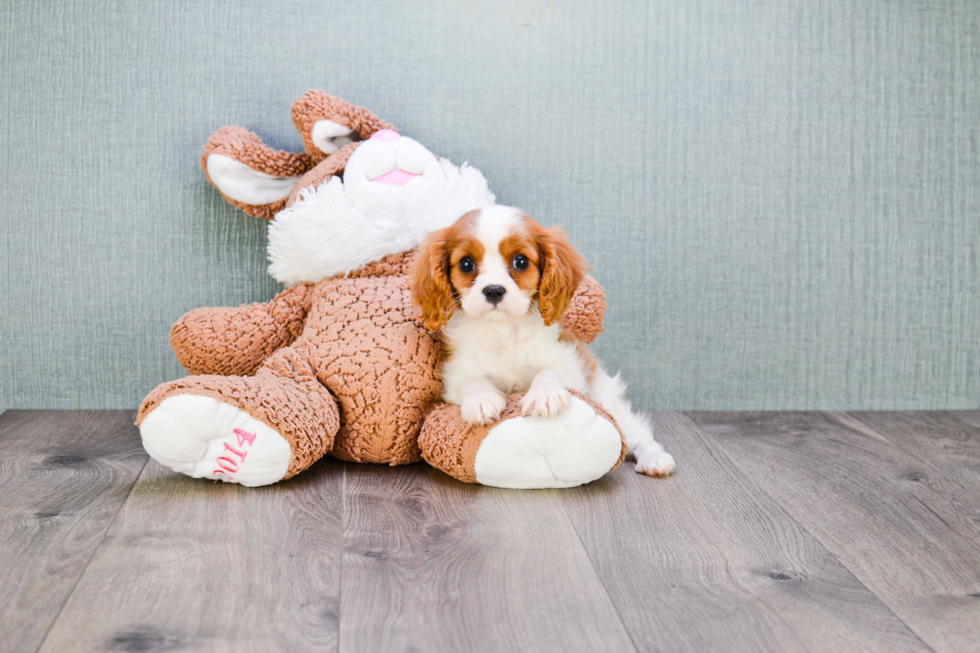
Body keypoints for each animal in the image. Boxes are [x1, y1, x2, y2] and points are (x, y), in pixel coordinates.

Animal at [412, 204, 672, 474]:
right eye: (466, 264)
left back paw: (655, 458)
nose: (493, 290)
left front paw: (544, 395)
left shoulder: (571, 365)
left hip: (606, 397)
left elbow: (549, 372)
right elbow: (472, 381)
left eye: (521, 261)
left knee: (637, 433)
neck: (503, 330)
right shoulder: (456, 374)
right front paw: (481, 400)